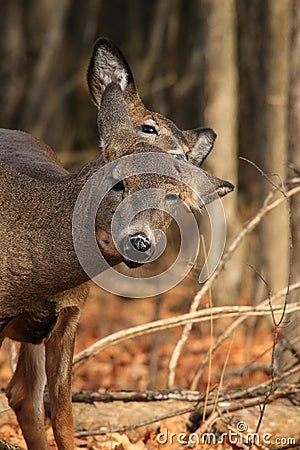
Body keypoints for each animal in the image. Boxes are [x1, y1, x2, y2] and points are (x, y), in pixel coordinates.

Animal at [0, 39, 234, 450]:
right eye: (118, 182)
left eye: (173, 197)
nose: (140, 240)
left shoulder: (70, 314)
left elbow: (63, 417)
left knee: (24, 395)